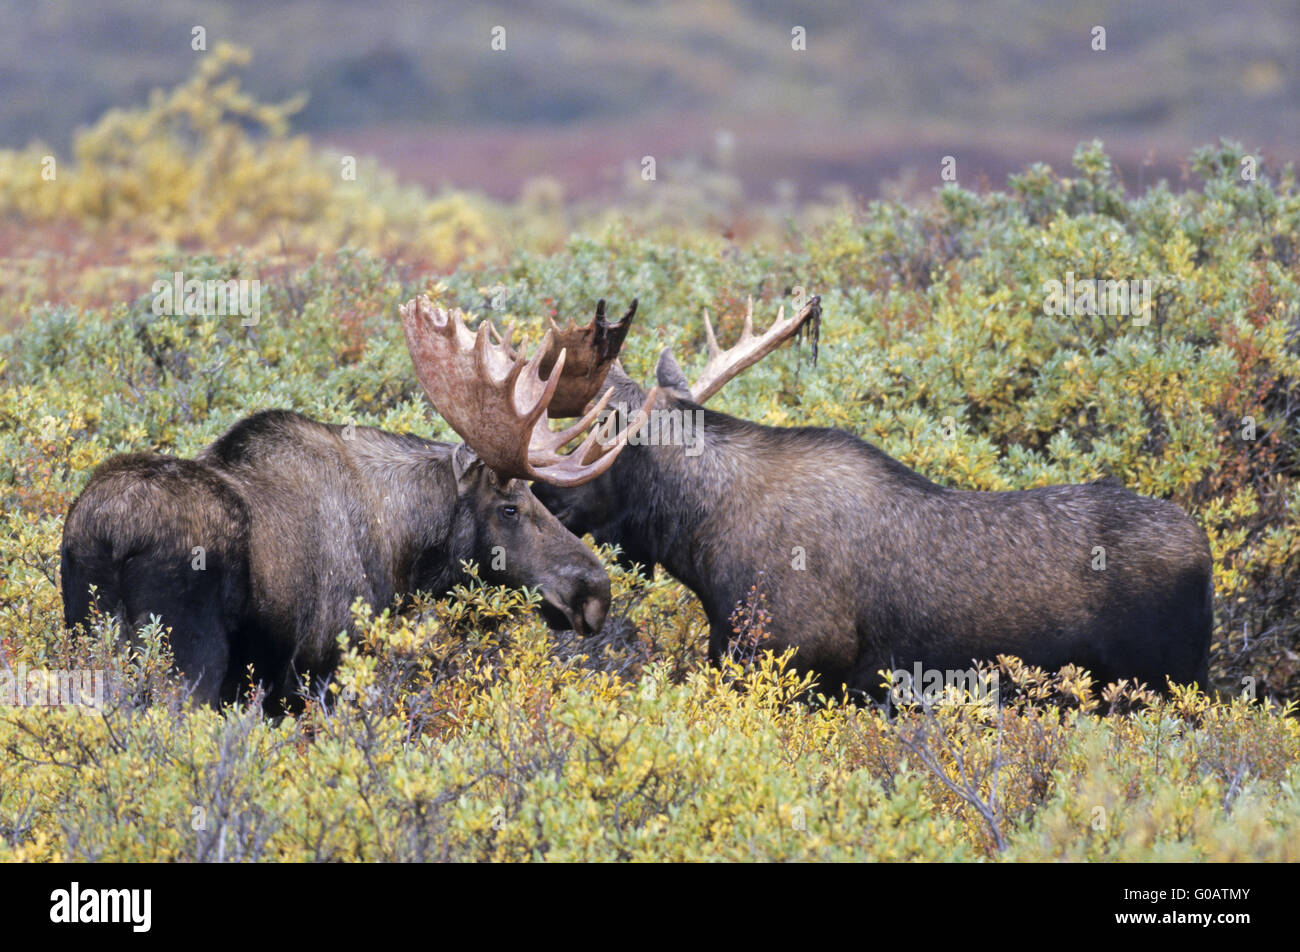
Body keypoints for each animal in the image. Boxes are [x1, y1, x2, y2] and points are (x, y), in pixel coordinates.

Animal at [530, 293, 1216, 697]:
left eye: (589, 441)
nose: (544, 498)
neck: (697, 542)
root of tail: (1205, 550)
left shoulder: (800, 664)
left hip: (1169, 685)